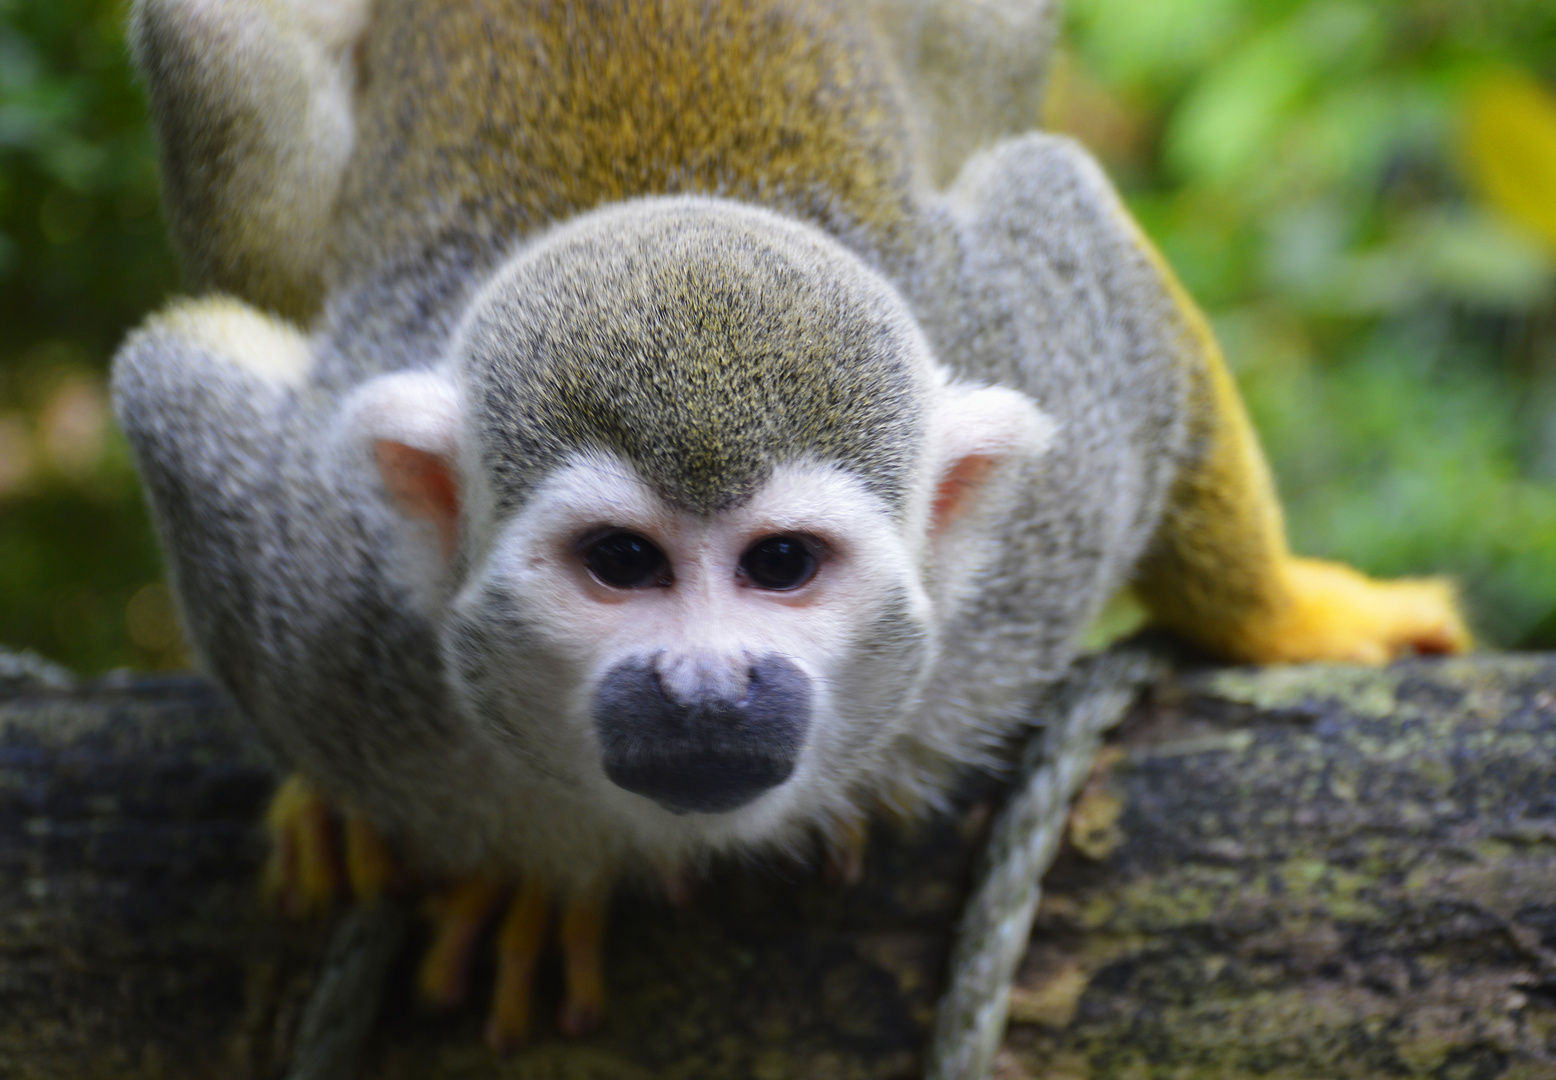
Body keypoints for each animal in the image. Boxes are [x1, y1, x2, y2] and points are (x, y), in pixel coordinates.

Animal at [112, 0, 1468, 1051]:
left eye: (781, 564)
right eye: (620, 563)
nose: (705, 690)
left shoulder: (1051, 507)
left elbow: (1071, 230)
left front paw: (1284, 611)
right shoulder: (326, 622)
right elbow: (172, 386)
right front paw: (525, 874)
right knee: (215, 46)